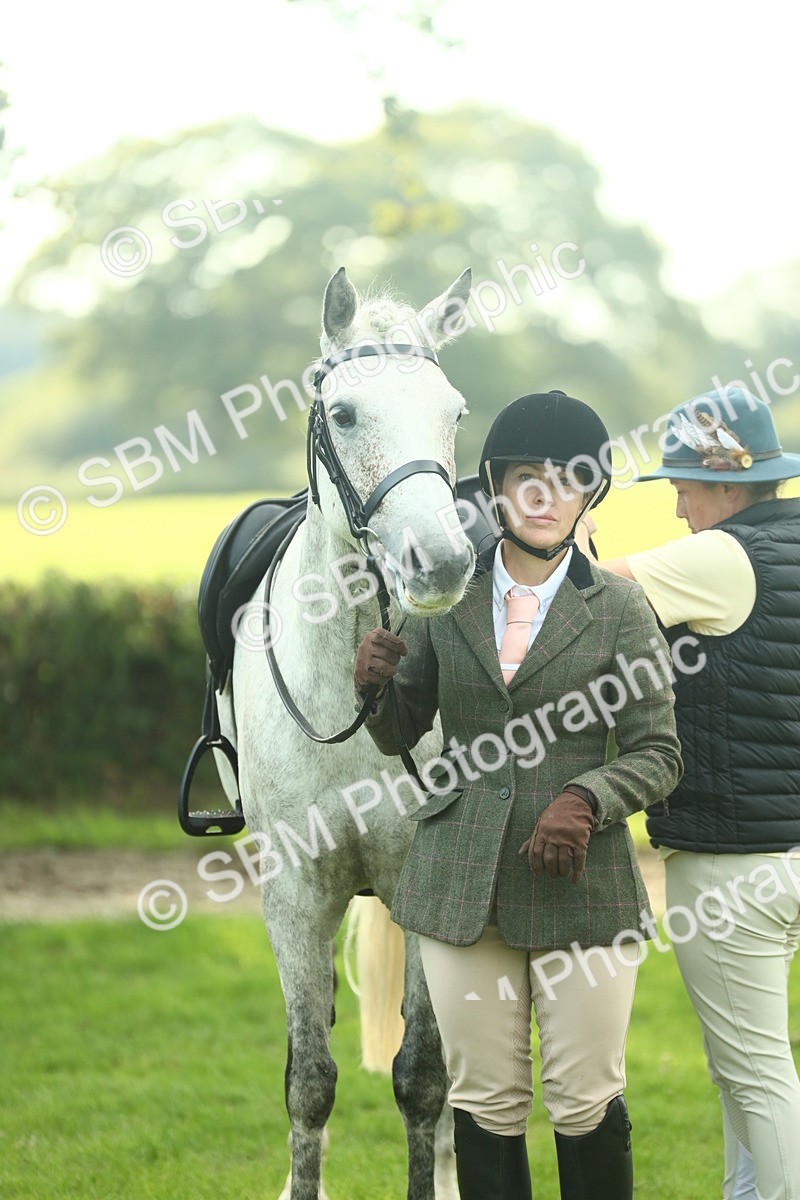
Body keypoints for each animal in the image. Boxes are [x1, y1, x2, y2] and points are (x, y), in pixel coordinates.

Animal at [215, 266, 476, 1200]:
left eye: (454, 413)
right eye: (347, 413)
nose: (442, 562)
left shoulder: (429, 888)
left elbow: (423, 1077)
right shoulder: (294, 896)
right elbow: (310, 1082)